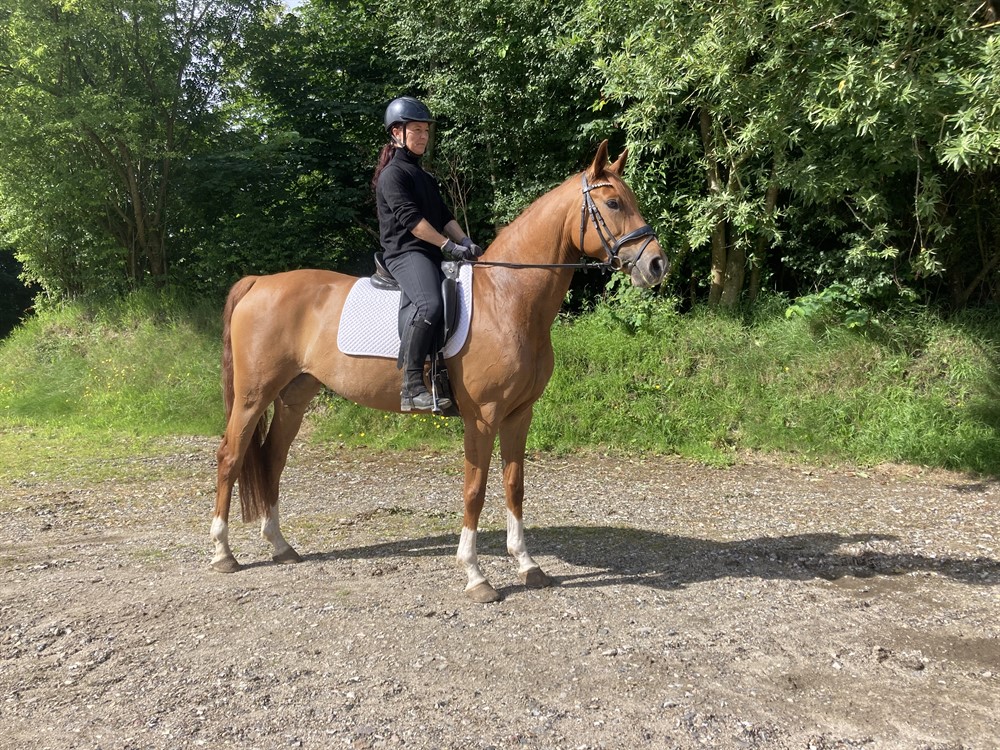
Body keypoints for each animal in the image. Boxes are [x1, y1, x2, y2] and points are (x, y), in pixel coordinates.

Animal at [211, 140, 669, 603]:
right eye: (613, 203)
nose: (656, 265)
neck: (507, 299)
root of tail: (260, 282)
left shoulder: (519, 414)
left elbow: (514, 485)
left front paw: (527, 565)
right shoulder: (482, 417)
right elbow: (475, 490)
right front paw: (476, 575)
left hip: (294, 397)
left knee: (273, 457)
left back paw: (281, 546)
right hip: (253, 397)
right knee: (231, 456)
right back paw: (223, 554)